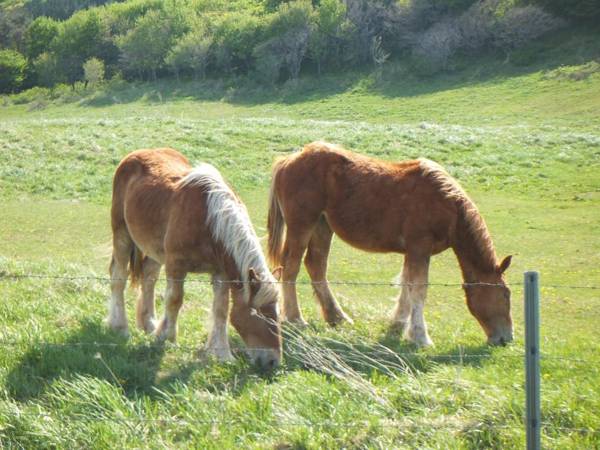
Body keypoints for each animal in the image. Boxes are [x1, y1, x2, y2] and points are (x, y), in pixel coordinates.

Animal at [109, 149, 282, 368]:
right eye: (257, 314)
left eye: (277, 313)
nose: (273, 361)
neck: (210, 221)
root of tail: (135, 155)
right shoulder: (176, 265)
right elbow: (175, 300)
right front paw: (167, 338)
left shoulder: (221, 273)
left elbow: (221, 310)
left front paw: (222, 354)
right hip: (122, 234)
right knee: (118, 278)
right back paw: (120, 327)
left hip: (154, 250)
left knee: (149, 278)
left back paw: (149, 323)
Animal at [270, 142, 512, 346]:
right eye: (505, 295)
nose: (506, 339)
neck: (446, 204)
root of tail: (289, 160)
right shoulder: (419, 248)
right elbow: (418, 289)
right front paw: (420, 337)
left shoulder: (412, 252)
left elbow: (406, 286)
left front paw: (398, 326)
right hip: (302, 226)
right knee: (291, 267)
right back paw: (295, 319)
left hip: (322, 226)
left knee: (316, 266)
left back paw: (337, 317)